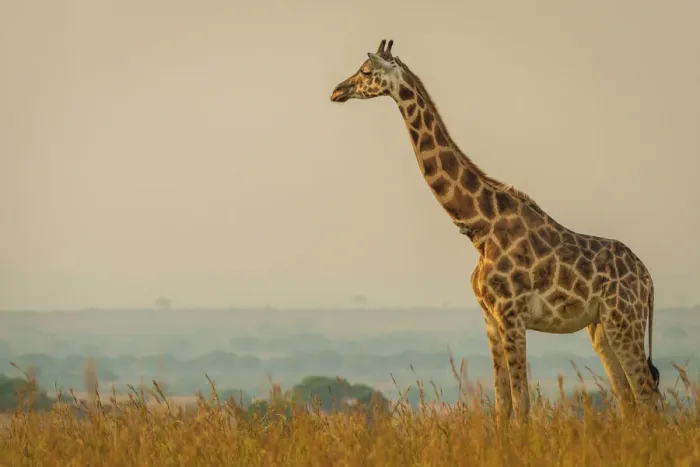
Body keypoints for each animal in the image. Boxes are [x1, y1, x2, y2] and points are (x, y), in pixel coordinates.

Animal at [330, 39, 661, 420]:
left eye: (366, 71)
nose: (337, 90)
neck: (480, 229)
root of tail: (648, 279)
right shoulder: (490, 319)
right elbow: (503, 406)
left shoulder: (511, 315)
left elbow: (521, 404)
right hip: (602, 327)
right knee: (629, 399)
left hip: (625, 321)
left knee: (646, 395)